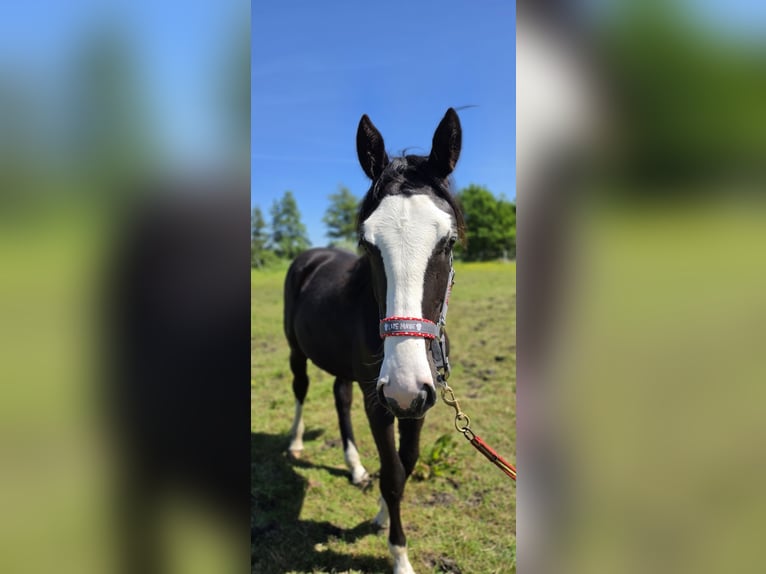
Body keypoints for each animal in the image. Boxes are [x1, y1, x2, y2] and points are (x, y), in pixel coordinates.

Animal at [283, 108, 464, 574]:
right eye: (367, 242)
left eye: (449, 241)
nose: (402, 384)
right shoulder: (381, 403)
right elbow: (395, 474)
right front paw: (399, 556)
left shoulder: (418, 402)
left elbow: (405, 463)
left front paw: (382, 514)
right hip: (297, 352)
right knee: (301, 389)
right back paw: (295, 443)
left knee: (339, 397)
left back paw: (355, 467)